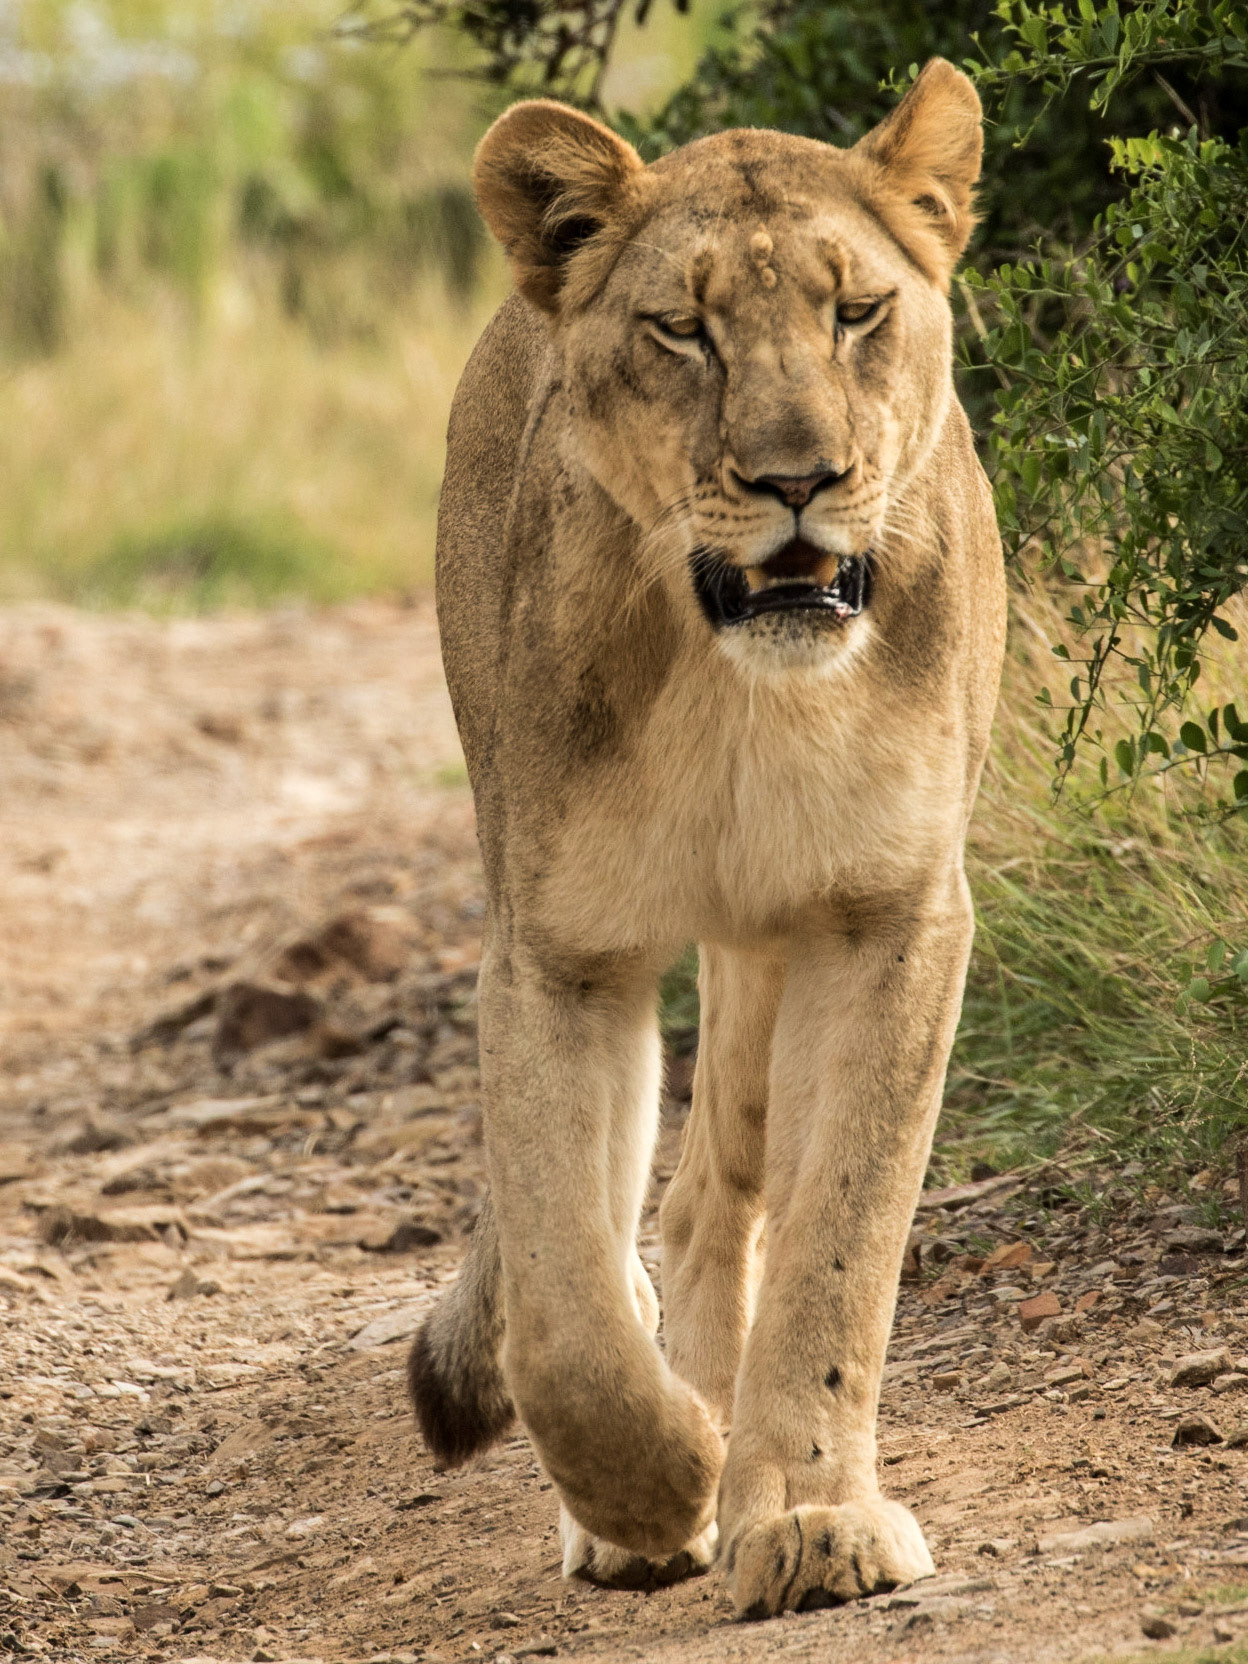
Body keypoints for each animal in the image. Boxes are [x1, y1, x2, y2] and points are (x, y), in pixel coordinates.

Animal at [408, 58, 1007, 1618]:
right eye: (681, 330)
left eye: (858, 311)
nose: (802, 477)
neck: (745, 691)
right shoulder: (558, 952)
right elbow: (561, 1316)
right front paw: (655, 1483)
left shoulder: (890, 914)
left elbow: (839, 1242)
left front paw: (805, 1513)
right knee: (629, 1227)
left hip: (766, 950)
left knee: (712, 1194)